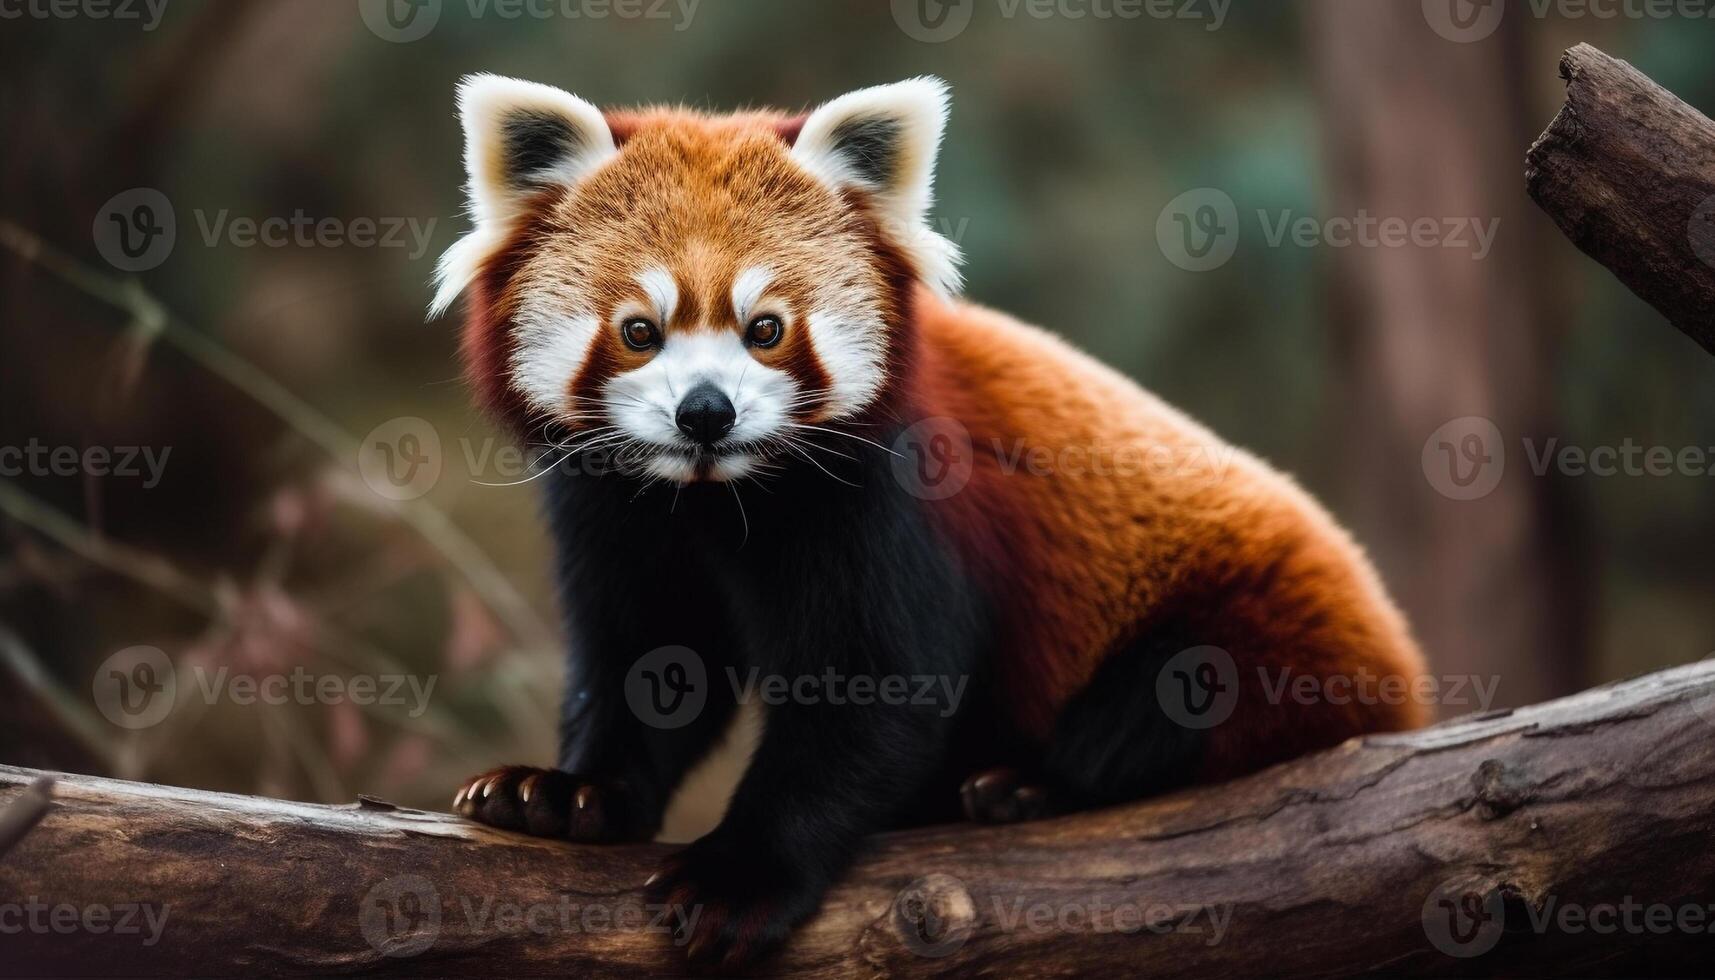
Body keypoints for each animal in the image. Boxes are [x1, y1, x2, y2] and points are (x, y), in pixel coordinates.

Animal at [435, 74, 1426, 967]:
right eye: (639, 330)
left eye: (766, 329)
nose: (705, 413)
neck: (718, 498)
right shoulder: (615, 514)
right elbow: (645, 661)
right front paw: (567, 793)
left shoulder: (886, 505)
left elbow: (878, 692)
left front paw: (738, 877)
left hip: (1267, 627)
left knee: (1163, 700)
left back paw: (1029, 786)